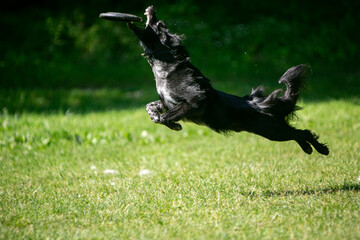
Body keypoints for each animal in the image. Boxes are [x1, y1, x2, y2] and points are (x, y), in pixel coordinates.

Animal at [127, 6, 330, 156]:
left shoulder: (196, 100)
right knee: (298, 133)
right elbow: (151, 107)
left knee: (302, 132)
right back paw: (308, 148)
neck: (166, 68)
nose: (151, 8)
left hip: (273, 131)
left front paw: (173, 124)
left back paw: (321, 149)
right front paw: (157, 117)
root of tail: (262, 102)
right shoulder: (166, 101)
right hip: (274, 131)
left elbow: (166, 116)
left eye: (159, 24)